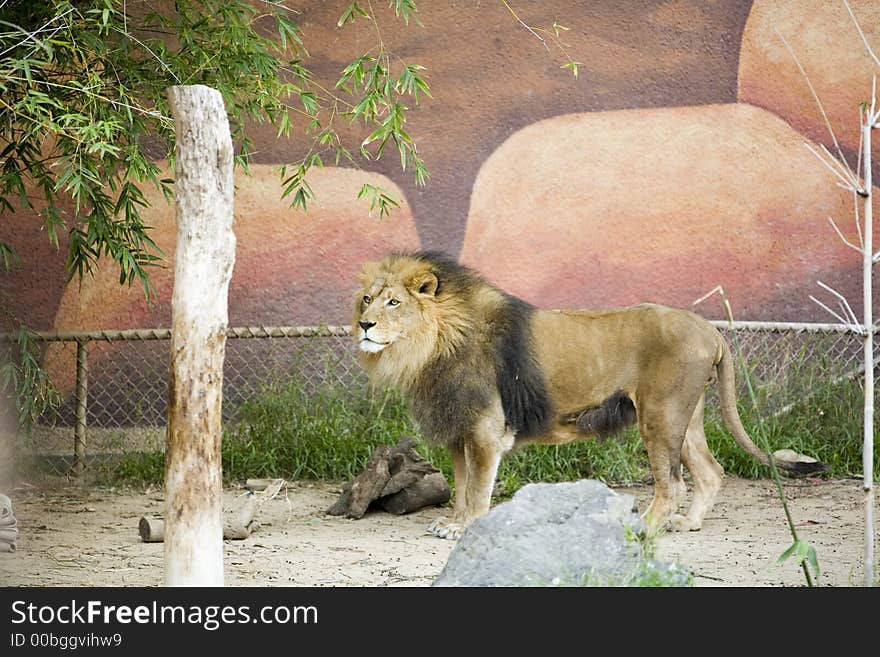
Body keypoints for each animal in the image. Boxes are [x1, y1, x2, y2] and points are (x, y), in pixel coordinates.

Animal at [352, 251, 824, 540]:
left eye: (393, 303)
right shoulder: (458, 429)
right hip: (686, 417)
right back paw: (687, 524)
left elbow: (479, 488)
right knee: (710, 471)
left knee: (671, 483)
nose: (364, 325)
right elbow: (462, 484)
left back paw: (646, 528)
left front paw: (464, 529)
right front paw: (452, 523)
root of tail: (709, 328)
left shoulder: (486, 430)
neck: (431, 347)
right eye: (367, 299)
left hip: (660, 415)